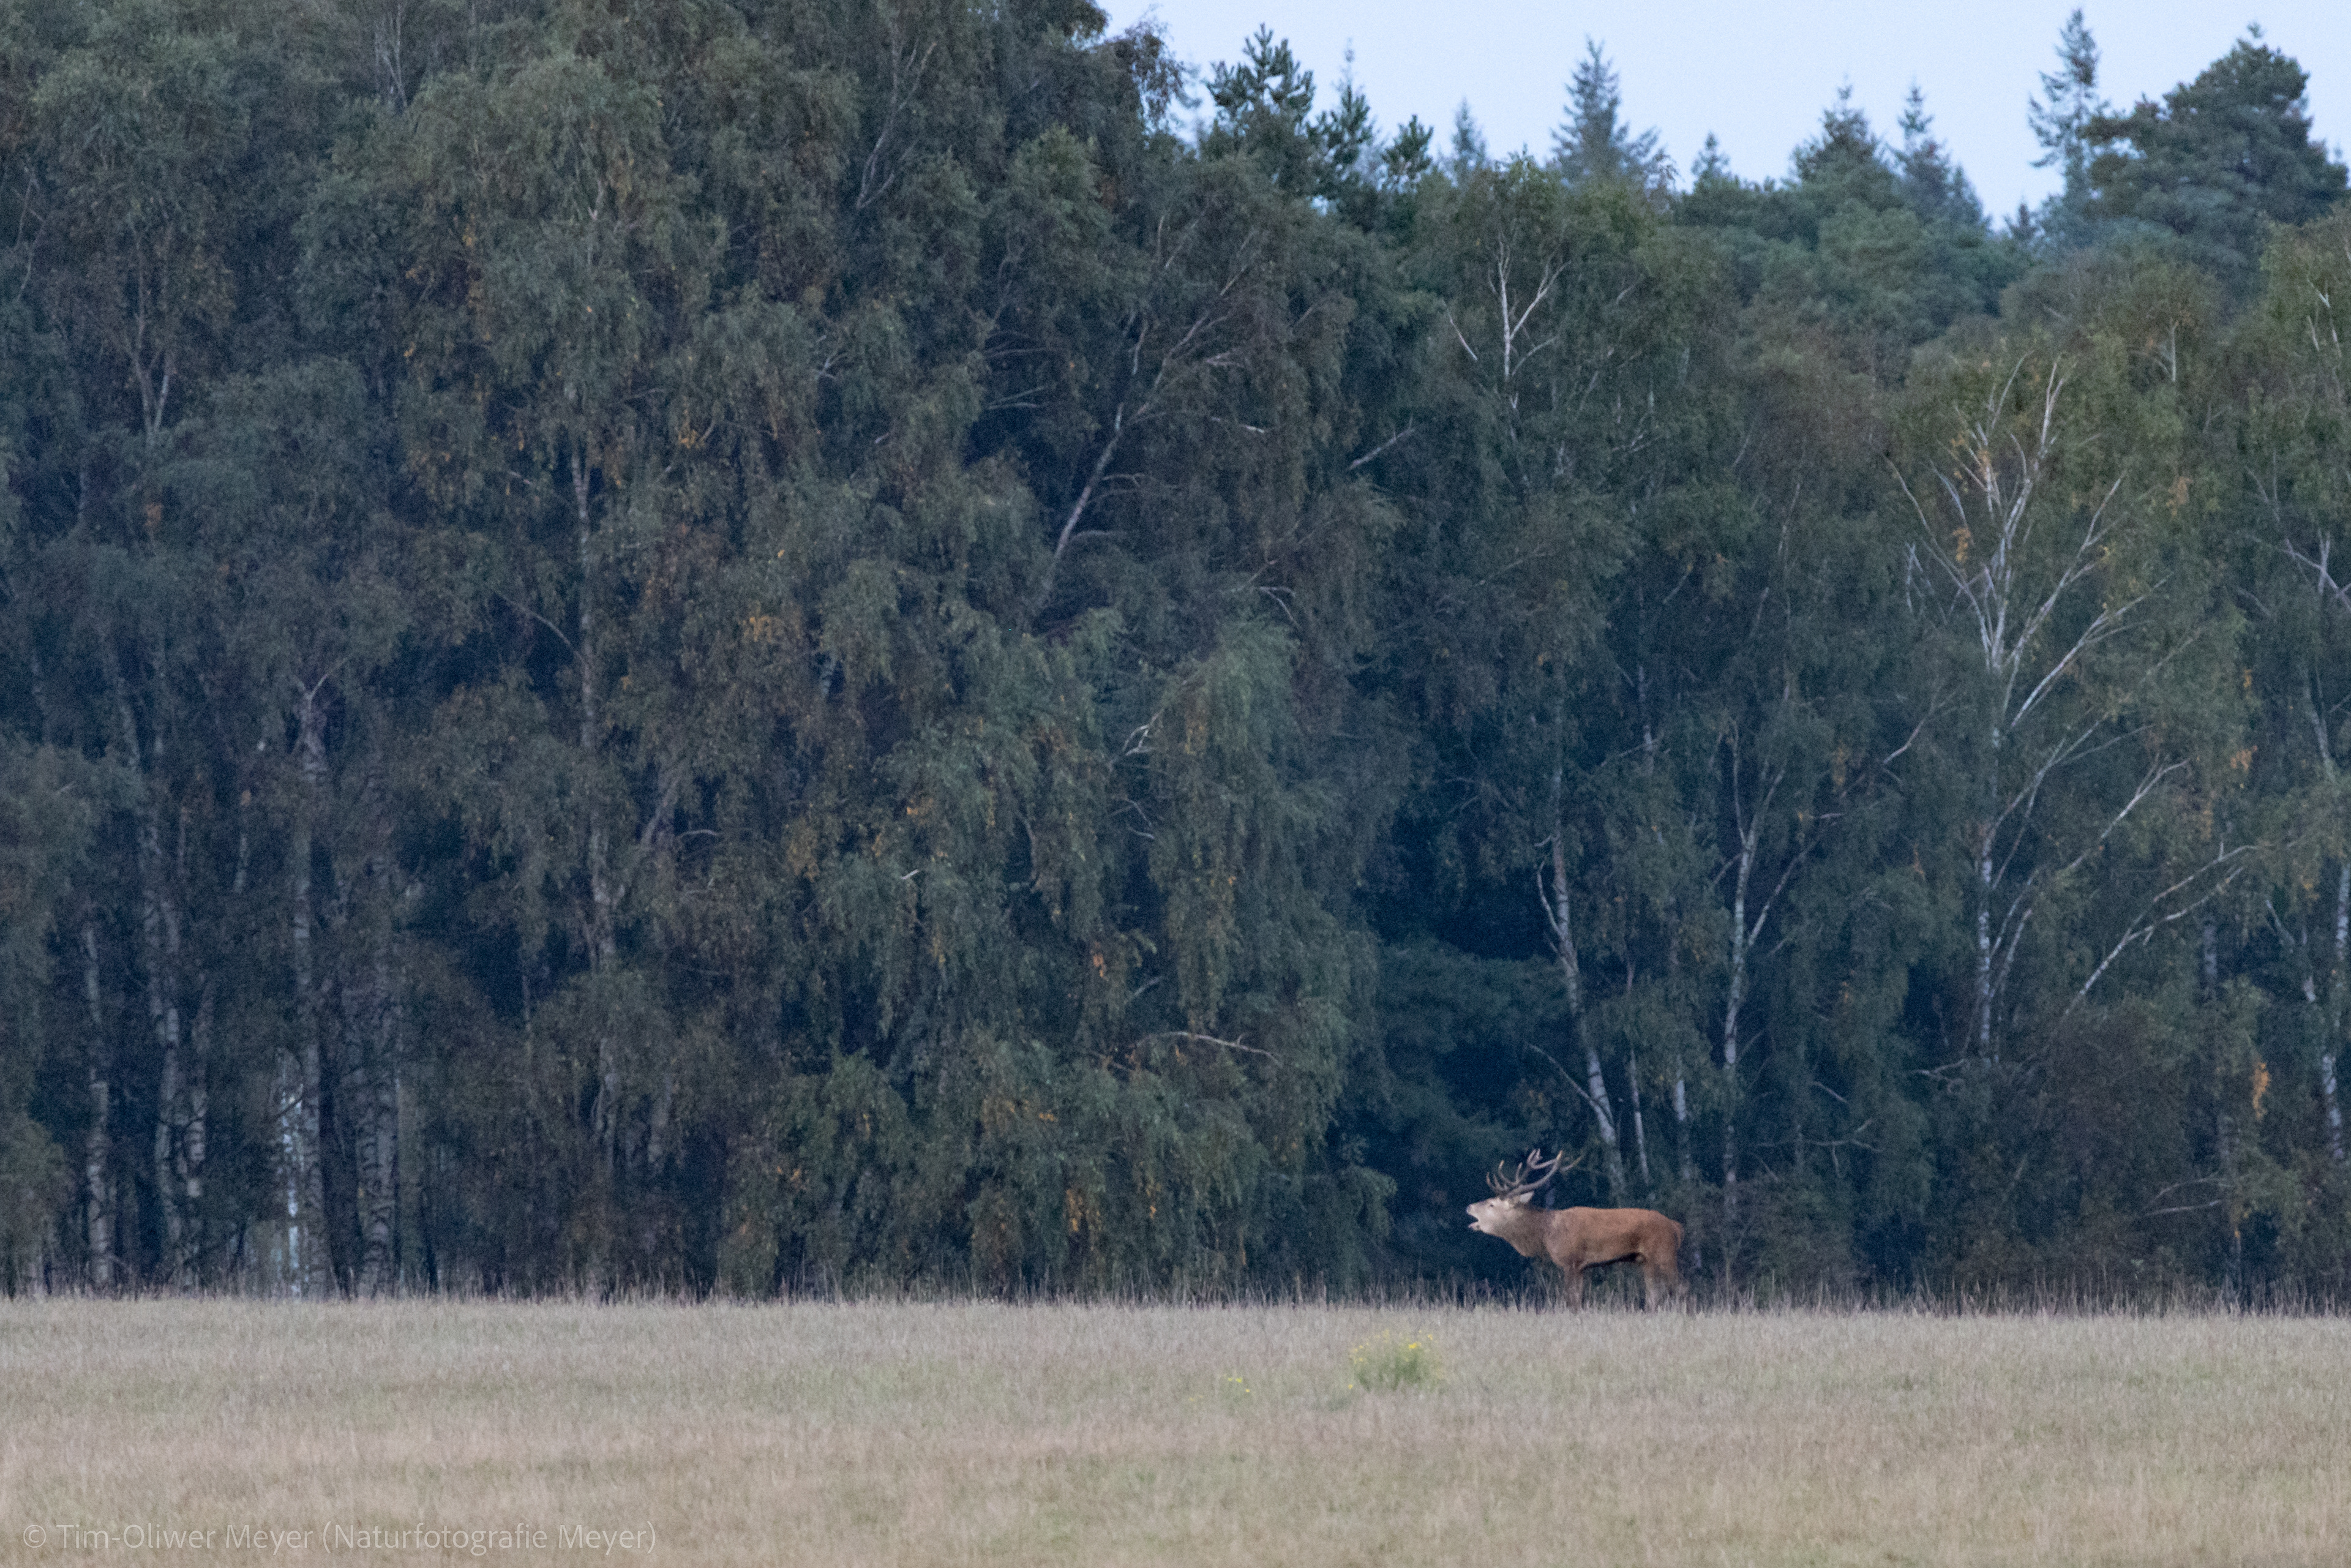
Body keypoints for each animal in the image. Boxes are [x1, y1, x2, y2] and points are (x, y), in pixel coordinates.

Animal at [1466, 1149, 1688, 1308]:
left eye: (1492, 1204)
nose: (1469, 1206)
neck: (1546, 1233)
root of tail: (1676, 1227)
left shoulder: (1570, 1260)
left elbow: (1571, 1300)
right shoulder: (1582, 1266)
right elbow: (1578, 1301)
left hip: (1664, 1252)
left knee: (1681, 1287)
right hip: (1646, 1260)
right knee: (1654, 1295)